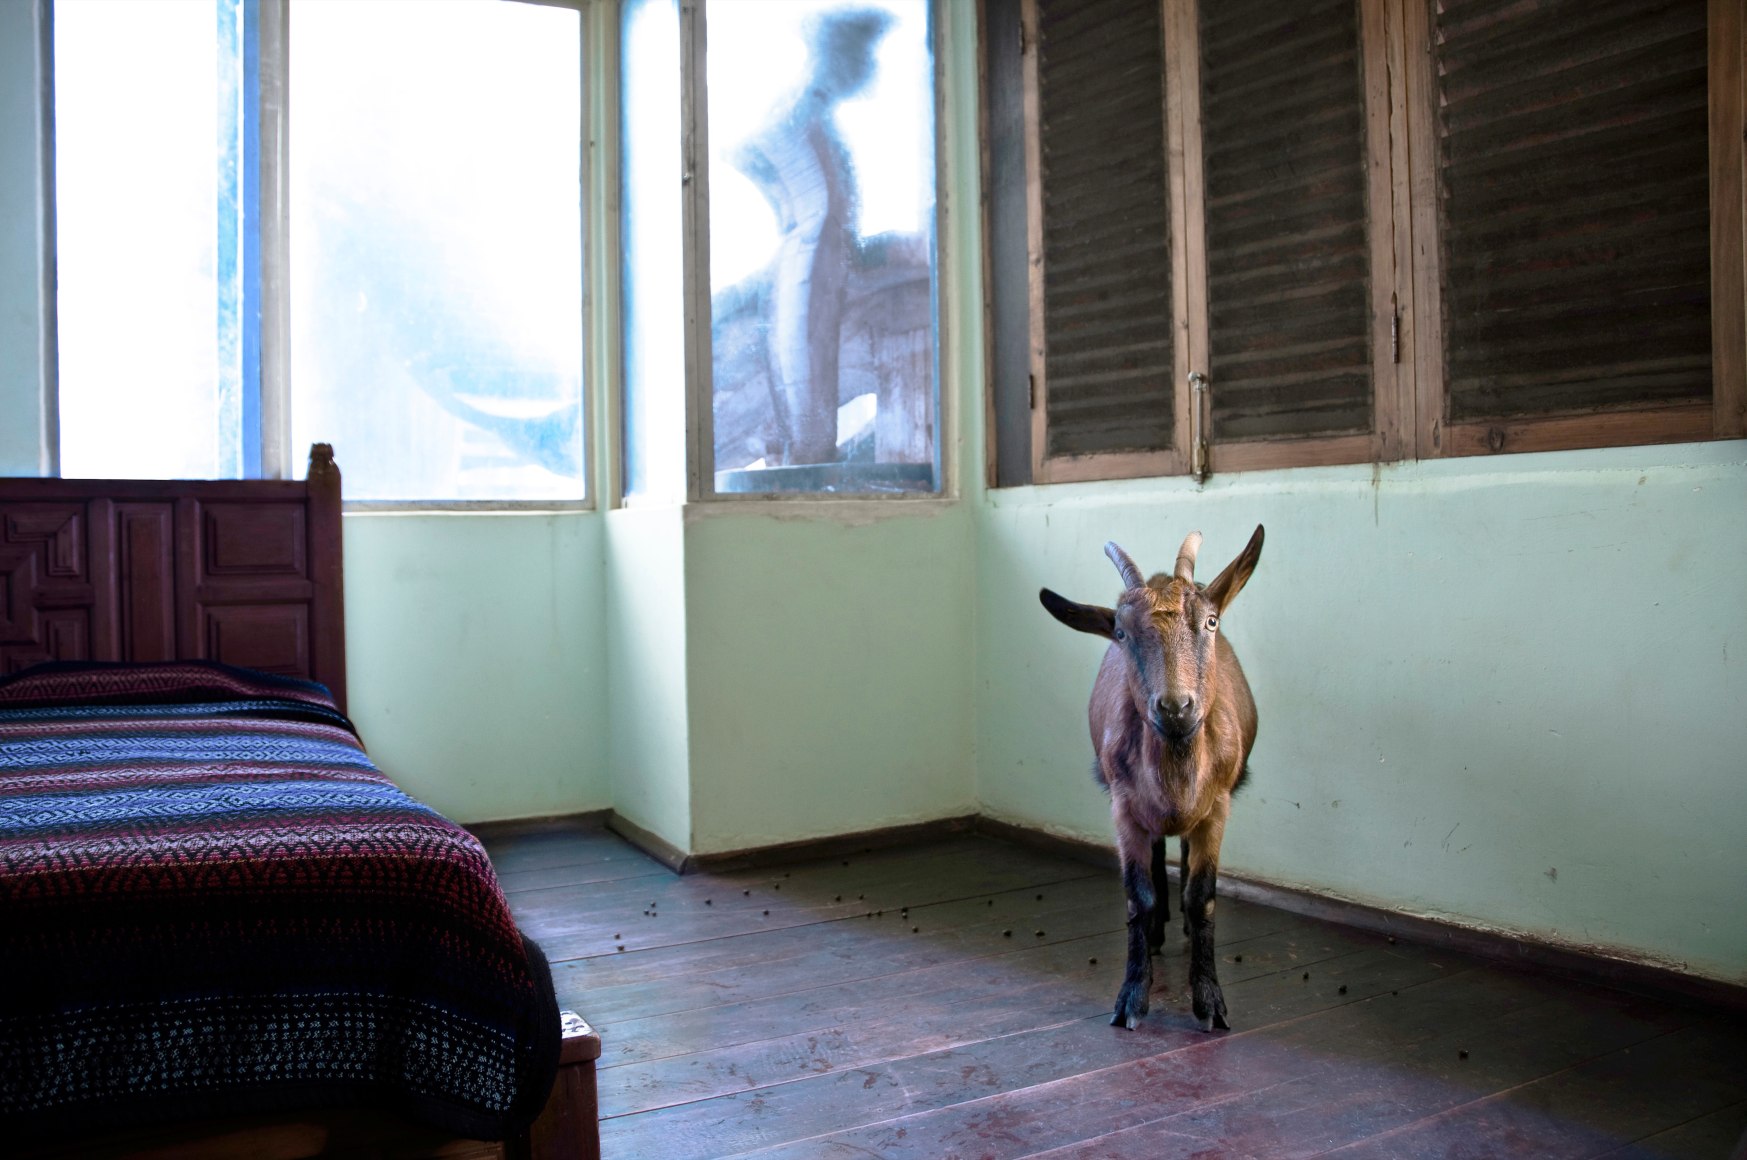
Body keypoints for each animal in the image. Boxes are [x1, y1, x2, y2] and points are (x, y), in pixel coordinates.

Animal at [1039, 525, 1263, 1030]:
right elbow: (1136, 899)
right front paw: (1131, 998)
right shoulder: (1124, 809)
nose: (1176, 707)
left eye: (1211, 622)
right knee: (1160, 851)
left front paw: (1209, 1002)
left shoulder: (1217, 807)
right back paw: (1161, 925)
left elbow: (1203, 897)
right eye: (1121, 633)